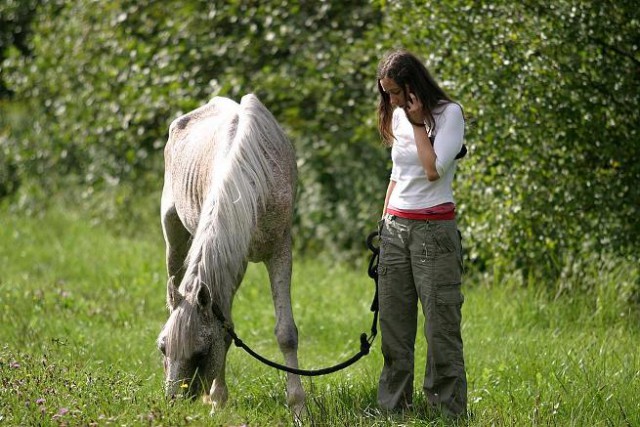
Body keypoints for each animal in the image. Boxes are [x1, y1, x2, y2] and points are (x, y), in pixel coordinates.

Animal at [156, 93, 304, 414]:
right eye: (163, 347)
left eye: (200, 352)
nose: (173, 404)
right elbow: (225, 329)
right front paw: (217, 400)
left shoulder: (279, 251)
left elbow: (286, 333)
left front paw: (298, 405)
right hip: (173, 238)